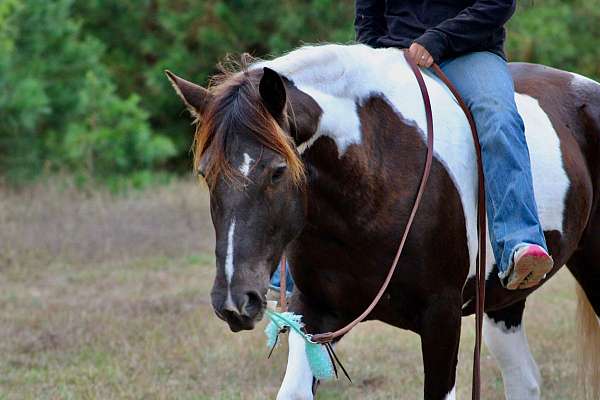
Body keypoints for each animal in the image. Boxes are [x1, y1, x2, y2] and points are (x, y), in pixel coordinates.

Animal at [165, 44, 600, 400]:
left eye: (276, 172)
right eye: (205, 173)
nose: (234, 301)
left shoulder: (441, 317)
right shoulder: (314, 312)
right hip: (502, 301)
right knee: (524, 380)